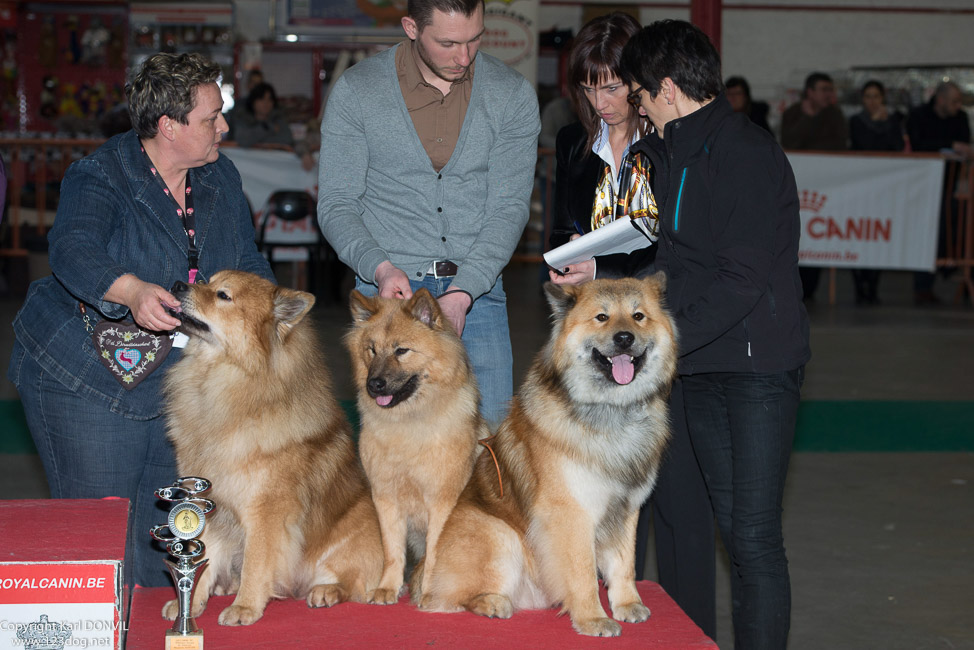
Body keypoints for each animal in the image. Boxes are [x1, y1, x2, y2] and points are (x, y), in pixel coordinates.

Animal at [348, 288, 488, 604]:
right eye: (372, 349)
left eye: (402, 351)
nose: (374, 384)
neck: (409, 424)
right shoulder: (386, 498)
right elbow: (392, 552)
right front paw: (387, 588)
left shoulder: (442, 501)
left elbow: (435, 552)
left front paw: (428, 591)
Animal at [414, 274, 680, 632]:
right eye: (602, 317)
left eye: (638, 316)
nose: (625, 338)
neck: (611, 411)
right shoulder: (571, 513)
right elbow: (582, 572)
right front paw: (593, 618)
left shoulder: (625, 508)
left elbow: (624, 564)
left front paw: (627, 604)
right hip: (498, 533)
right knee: (445, 598)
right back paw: (493, 602)